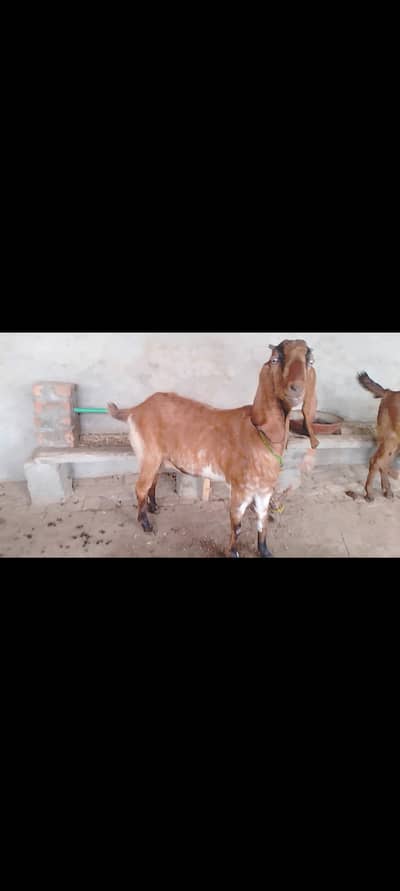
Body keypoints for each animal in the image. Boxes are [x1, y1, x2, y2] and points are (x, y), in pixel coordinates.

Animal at [108, 340, 319, 558]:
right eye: (275, 359)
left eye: (310, 362)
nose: (296, 389)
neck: (260, 436)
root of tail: (136, 409)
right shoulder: (240, 489)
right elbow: (237, 525)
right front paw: (232, 552)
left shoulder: (264, 492)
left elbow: (262, 522)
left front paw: (265, 551)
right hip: (148, 454)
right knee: (140, 486)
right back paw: (146, 524)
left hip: (159, 458)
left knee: (153, 482)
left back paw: (154, 507)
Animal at [357, 372, 400, 501]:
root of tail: (389, 392)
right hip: (391, 438)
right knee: (377, 461)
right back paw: (369, 493)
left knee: (384, 463)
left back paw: (387, 491)